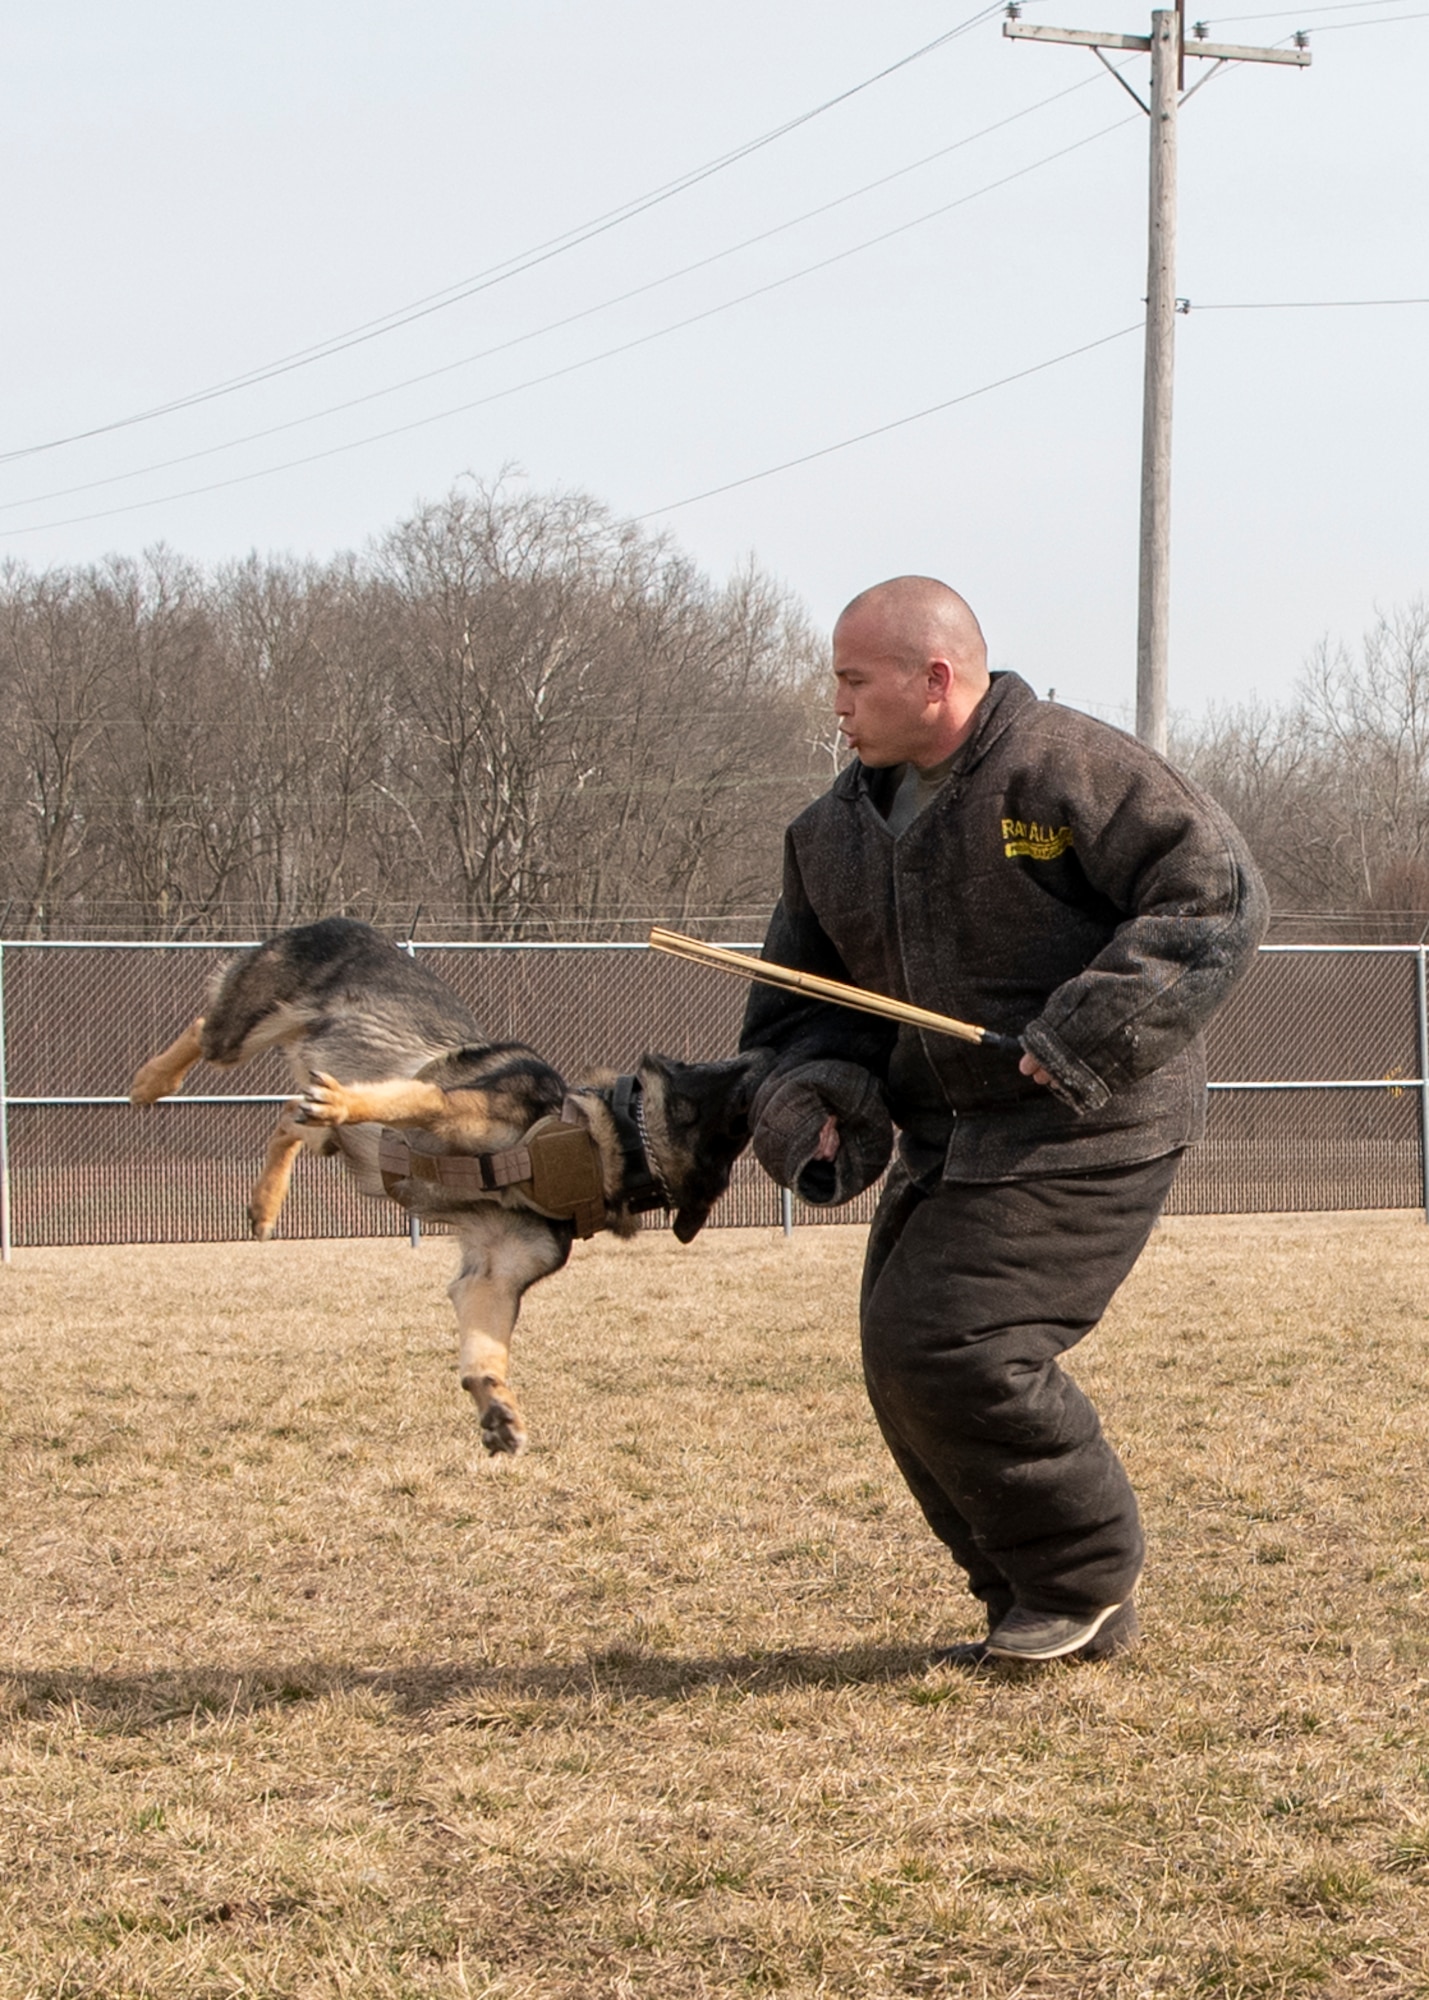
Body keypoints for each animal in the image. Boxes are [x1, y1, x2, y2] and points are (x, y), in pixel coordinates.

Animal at [131, 916, 768, 1456]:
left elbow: (487, 1350)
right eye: (712, 1085)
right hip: (246, 1028)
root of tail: (344, 921)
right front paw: (345, 1100)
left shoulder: (492, 1274)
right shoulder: (446, 1108)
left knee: (289, 1118)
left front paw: (497, 1407)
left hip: (322, 1128)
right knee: (206, 1030)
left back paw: (265, 1204)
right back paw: (151, 1081)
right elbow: (403, 1097)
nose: (759, 1058)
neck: (593, 1147)